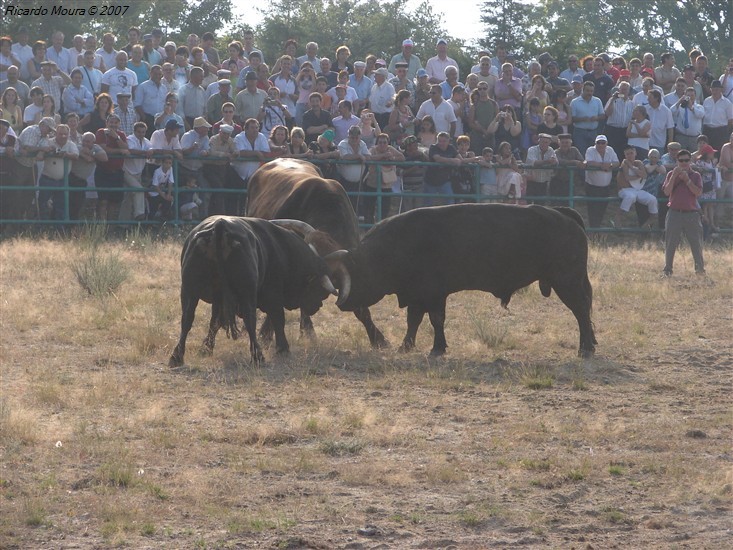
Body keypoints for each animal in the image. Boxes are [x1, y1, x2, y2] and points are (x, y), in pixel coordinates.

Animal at [328, 205, 596, 360]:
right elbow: (414, 321)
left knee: (581, 311)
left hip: (567, 283)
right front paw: (406, 346)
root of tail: (566, 216)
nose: (343, 302)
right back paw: (590, 343)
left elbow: (435, 320)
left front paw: (437, 348)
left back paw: (586, 349)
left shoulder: (434, 295)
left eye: (355, 274)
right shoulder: (418, 295)